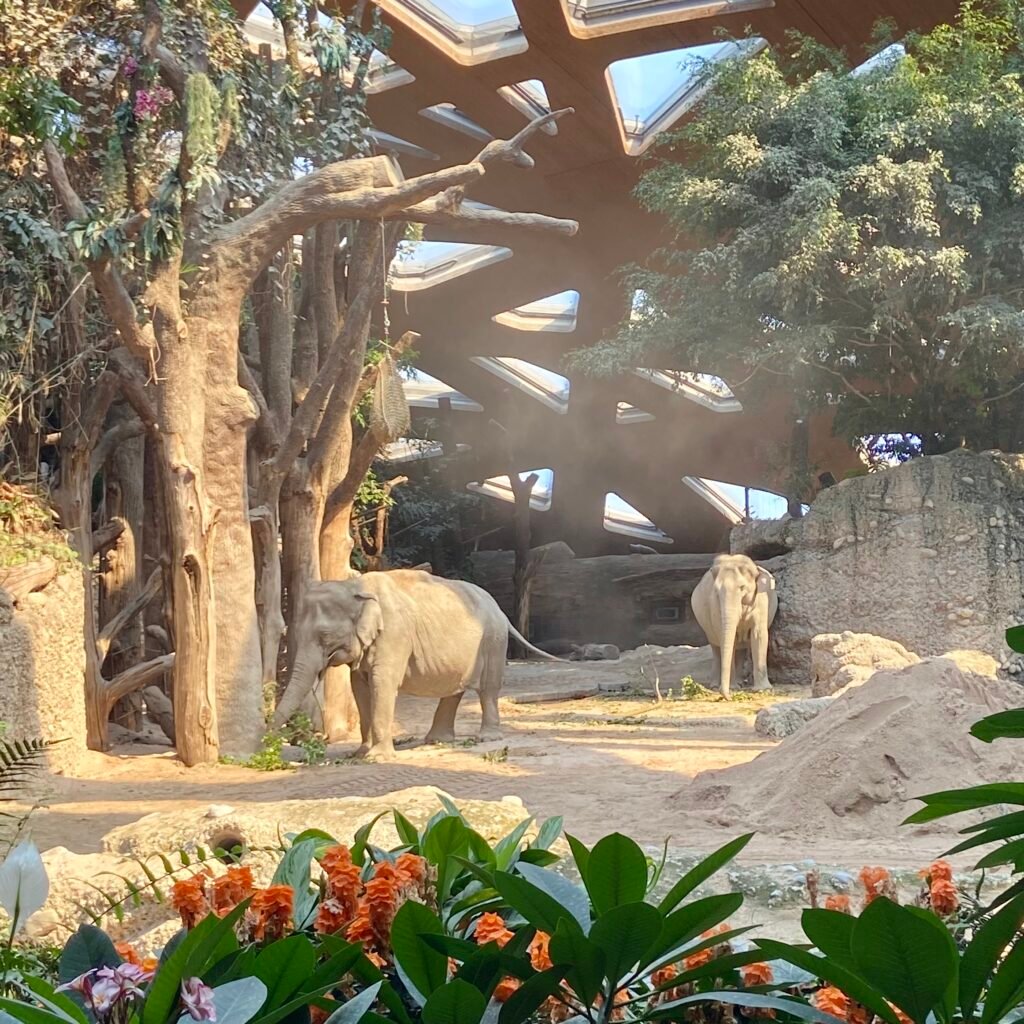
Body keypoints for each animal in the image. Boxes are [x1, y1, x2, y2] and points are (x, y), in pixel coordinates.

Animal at [273, 569, 558, 758]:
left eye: (324, 636)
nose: (273, 745)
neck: (353, 585)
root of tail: (499, 609)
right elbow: (360, 687)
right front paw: (360, 753)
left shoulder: (394, 634)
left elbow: (382, 683)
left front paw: (377, 758)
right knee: (454, 689)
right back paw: (437, 741)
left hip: (493, 641)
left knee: (488, 689)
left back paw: (486, 738)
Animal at [689, 554, 778, 699]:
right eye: (716, 591)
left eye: (742, 587)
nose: (728, 697)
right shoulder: (715, 605)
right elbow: (724, 638)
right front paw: (733, 688)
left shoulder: (762, 598)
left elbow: (758, 635)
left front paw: (764, 690)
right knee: (717, 648)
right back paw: (715, 686)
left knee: (740, 648)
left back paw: (739, 683)